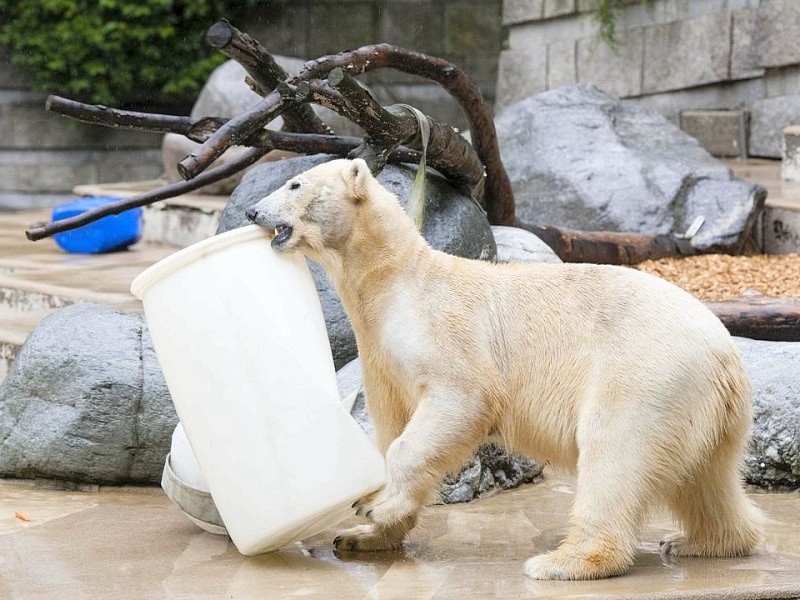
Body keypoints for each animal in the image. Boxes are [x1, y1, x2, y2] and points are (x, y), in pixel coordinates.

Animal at [247, 159, 764, 580]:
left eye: (294, 183)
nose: (252, 212)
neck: (391, 283)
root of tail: (726, 354)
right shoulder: (379, 355)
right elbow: (392, 420)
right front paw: (363, 534)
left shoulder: (442, 328)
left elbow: (460, 398)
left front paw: (374, 507)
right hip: (703, 406)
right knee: (708, 477)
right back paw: (701, 540)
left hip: (646, 373)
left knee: (615, 453)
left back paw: (564, 562)